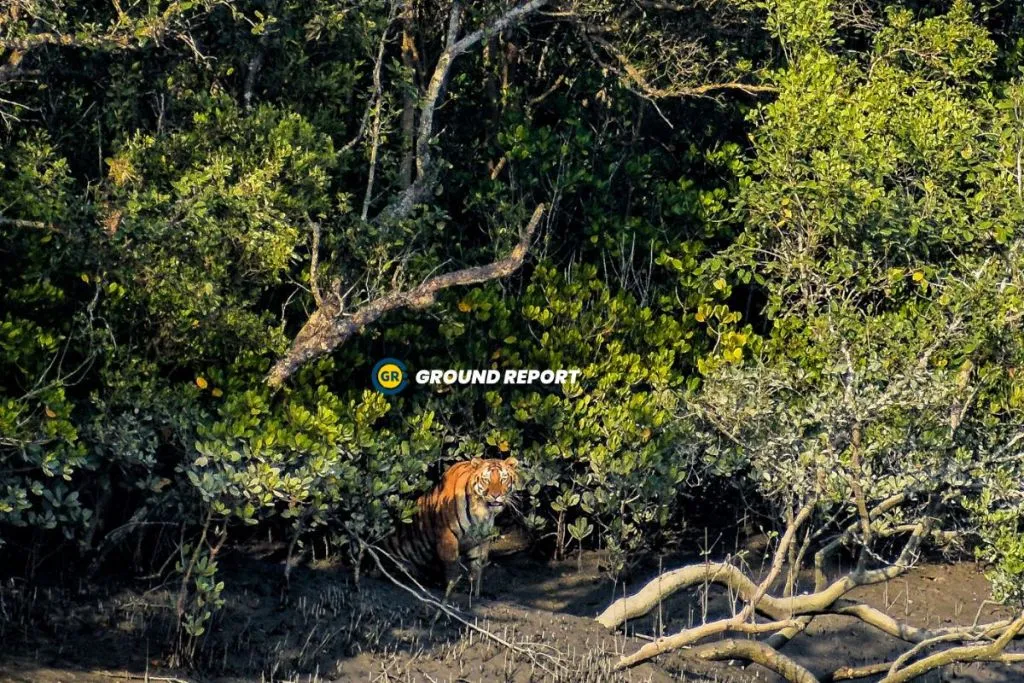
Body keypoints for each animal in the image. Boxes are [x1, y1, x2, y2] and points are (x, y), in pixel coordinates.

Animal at [385, 457, 519, 598]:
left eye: (503, 479)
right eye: (486, 479)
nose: (496, 495)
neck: (482, 512)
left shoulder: (480, 540)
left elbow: (476, 571)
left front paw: (475, 595)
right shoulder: (447, 535)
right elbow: (452, 569)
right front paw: (451, 592)